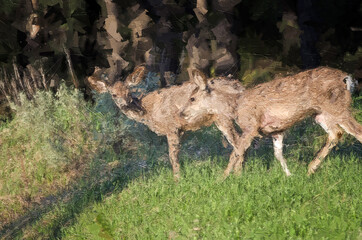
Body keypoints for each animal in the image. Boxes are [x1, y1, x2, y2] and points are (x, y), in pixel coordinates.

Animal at [87, 66, 246, 179]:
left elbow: (172, 157)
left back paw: (231, 175)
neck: (148, 112)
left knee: (238, 141)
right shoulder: (181, 130)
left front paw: (177, 181)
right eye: (114, 94)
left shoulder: (172, 127)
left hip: (222, 116)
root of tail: (240, 86)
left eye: (128, 92)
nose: (125, 104)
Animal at [182, 66, 360, 177]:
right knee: (336, 133)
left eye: (192, 98)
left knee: (356, 131)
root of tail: (347, 78)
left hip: (337, 107)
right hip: (320, 114)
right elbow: (278, 154)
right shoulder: (276, 131)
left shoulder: (251, 126)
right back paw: (310, 169)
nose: (182, 112)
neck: (236, 105)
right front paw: (289, 176)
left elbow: (236, 152)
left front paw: (226, 178)